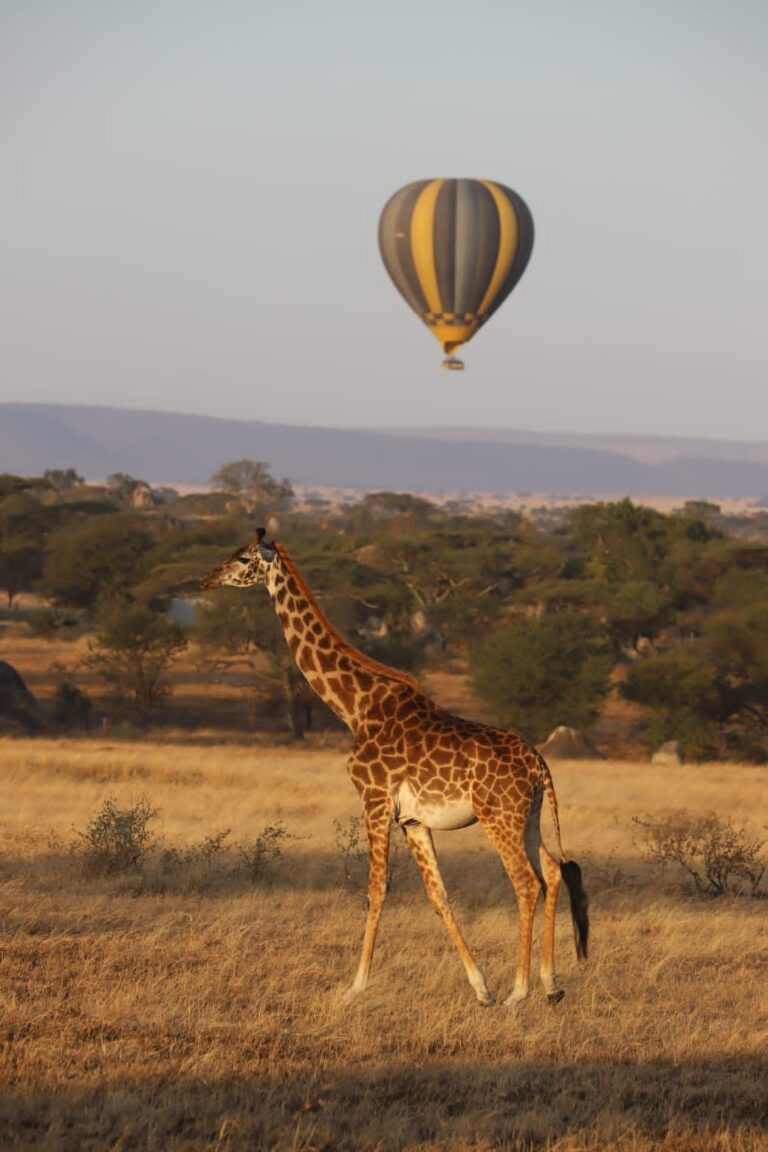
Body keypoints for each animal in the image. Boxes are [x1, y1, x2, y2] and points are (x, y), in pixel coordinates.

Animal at [202, 529, 589, 1006]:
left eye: (242, 558)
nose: (206, 578)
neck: (354, 706)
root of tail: (540, 764)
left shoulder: (374, 799)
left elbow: (376, 888)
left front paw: (354, 986)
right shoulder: (412, 819)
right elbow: (437, 894)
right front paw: (480, 988)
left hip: (498, 816)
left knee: (526, 882)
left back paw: (520, 991)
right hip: (528, 816)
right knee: (552, 873)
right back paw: (551, 985)